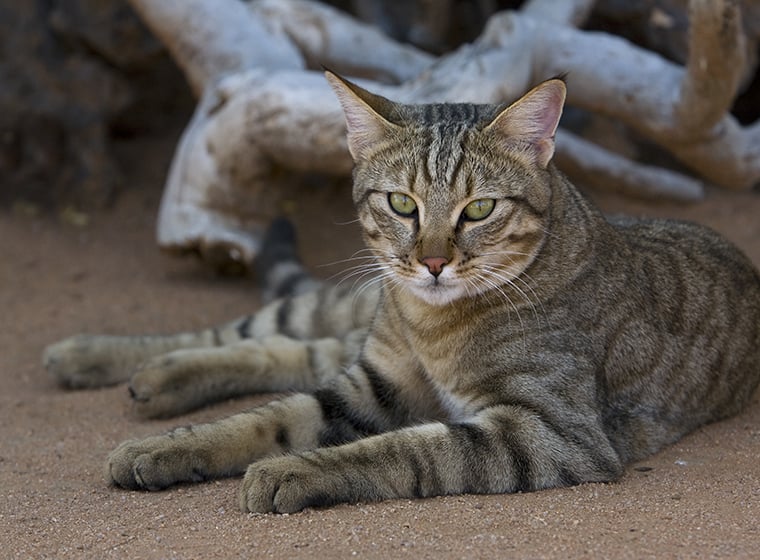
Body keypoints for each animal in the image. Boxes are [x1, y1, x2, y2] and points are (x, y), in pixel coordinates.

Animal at [43, 72, 760, 516]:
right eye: (401, 203)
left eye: (479, 209)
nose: (432, 262)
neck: (431, 325)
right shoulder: (377, 381)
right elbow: (267, 418)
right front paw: (169, 448)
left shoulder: (550, 431)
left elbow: (407, 448)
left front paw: (292, 472)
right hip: (351, 308)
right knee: (263, 334)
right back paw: (103, 358)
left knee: (287, 351)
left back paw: (152, 377)